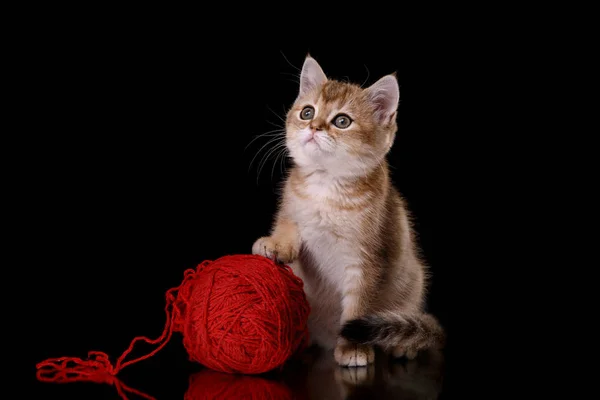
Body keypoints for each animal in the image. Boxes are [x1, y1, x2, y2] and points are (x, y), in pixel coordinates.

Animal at [251, 54, 442, 368]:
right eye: (307, 112)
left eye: (342, 121)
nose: (314, 127)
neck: (326, 187)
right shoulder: (290, 203)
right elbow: (289, 222)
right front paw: (276, 244)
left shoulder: (366, 260)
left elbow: (357, 308)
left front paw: (353, 348)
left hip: (412, 282)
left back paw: (402, 343)